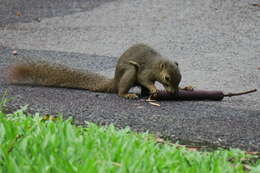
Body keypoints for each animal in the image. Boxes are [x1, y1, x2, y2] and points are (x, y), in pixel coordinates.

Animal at [6, 44, 181, 99]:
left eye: (179, 78)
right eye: (167, 78)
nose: (173, 92)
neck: (157, 64)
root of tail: (115, 80)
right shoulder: (146, 71)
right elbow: (145, 80)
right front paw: (154, 88)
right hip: (130, 71)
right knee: (121, 90)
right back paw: (128, 94)